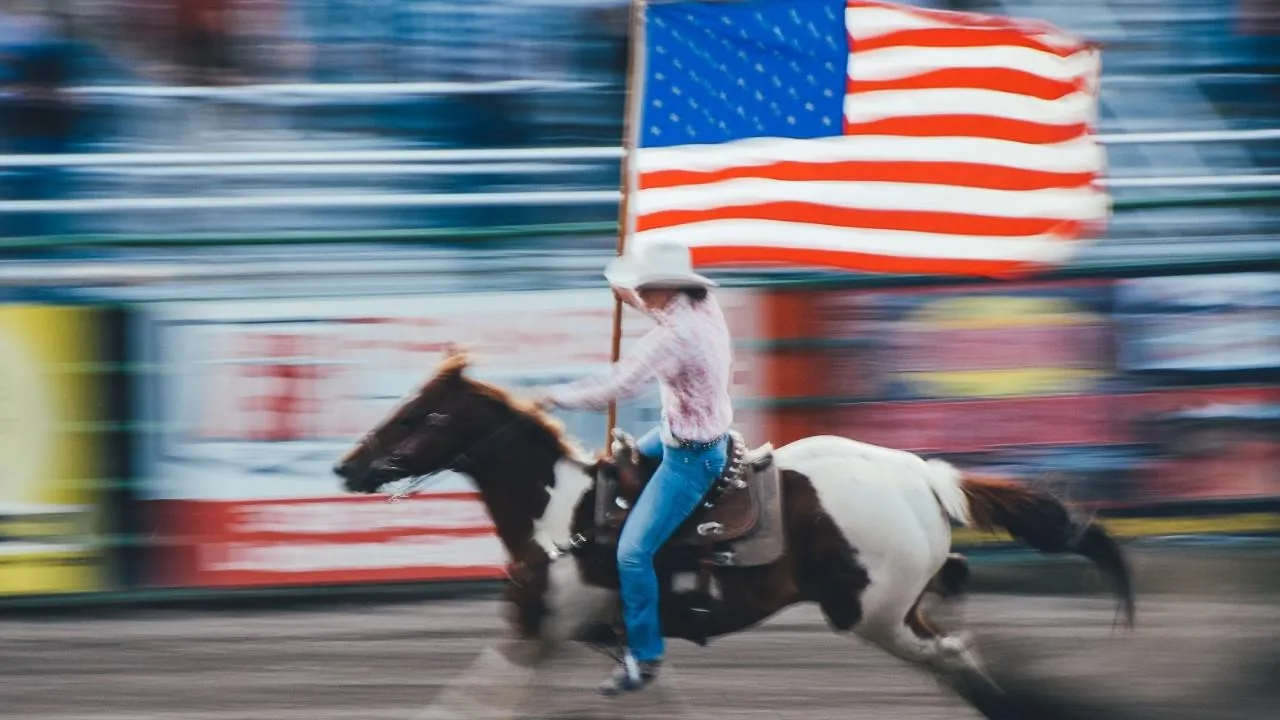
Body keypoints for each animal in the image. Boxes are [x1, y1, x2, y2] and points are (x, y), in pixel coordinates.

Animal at [335, 351, 1136, 702]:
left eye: (421, 415)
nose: (348, 466)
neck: (561, 516)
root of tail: (923, 476)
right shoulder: (599, 642)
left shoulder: (540, 634)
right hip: (894, 607)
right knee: (958, 630)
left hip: (874, 613)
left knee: (955, 656)